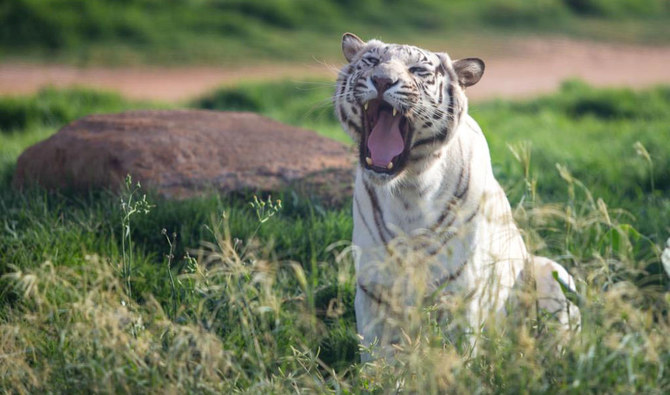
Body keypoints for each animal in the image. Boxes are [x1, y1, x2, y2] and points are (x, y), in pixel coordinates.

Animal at [336, 34, 584, 362]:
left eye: (417, 70)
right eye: (372, 61)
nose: (382, 80)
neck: (409, 189)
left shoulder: (460, 290)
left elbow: (457, 352)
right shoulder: (374, 288)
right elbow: (377, 356)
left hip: (553, 272)